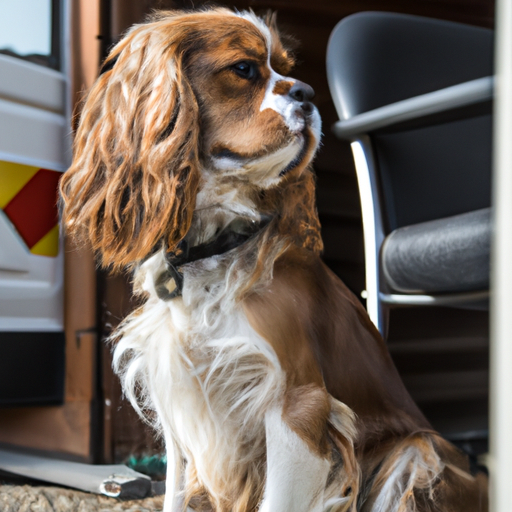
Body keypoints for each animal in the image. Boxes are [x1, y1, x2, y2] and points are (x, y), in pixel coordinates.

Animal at [60, 8, 488, 512]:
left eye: (287, 69)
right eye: (244, 69)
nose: (307, 93)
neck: (214, 245)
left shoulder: (297, 406)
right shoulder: (179, 401)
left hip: (416, 451)